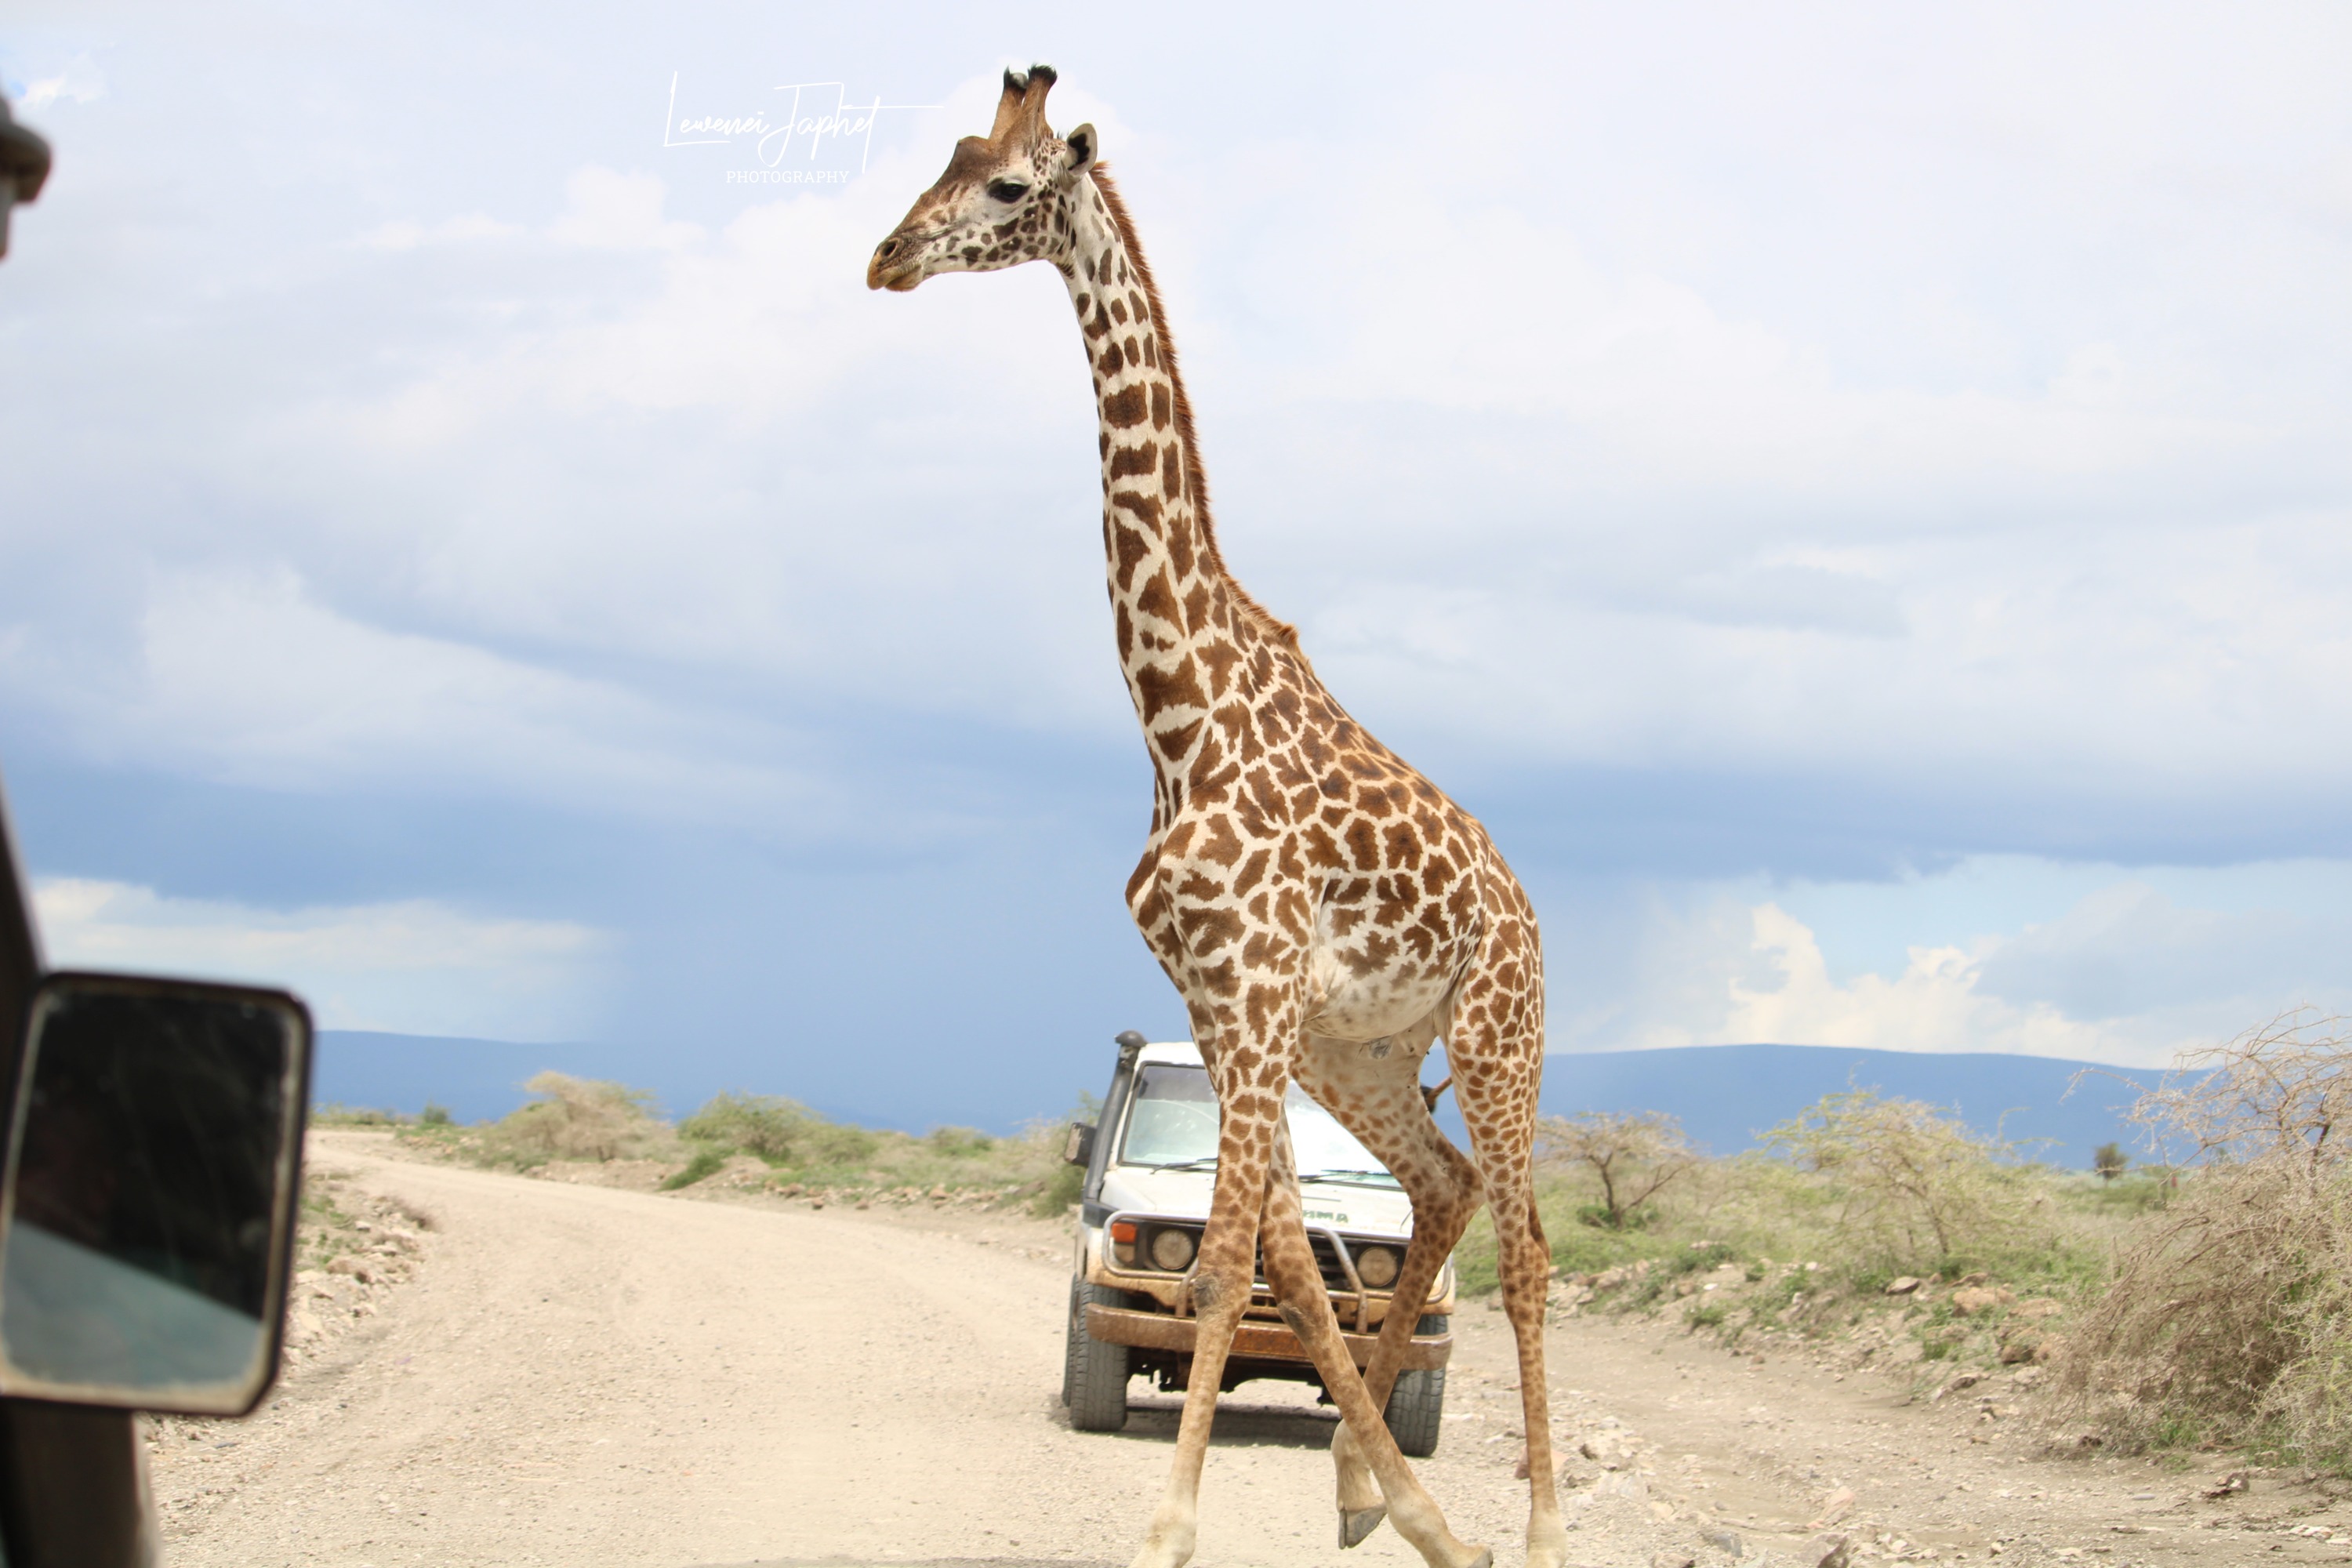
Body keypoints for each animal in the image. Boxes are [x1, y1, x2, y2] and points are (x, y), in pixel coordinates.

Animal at [866, 67, 1562, 1568]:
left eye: (1006, 185)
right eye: (947, 153)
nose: (887, 255)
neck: (1178, 713)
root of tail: (1528, 909)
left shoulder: (1247, 988)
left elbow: (1233, 1260)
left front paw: (1172, 1528)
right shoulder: (1219, 998)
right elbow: (1284, 1264)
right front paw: (1390, 1503)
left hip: (1497, 1032)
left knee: (1529, 1245)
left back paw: (1538, 1527)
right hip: (1361, 1051)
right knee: (1444, 1190)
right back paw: (1390, 1503)